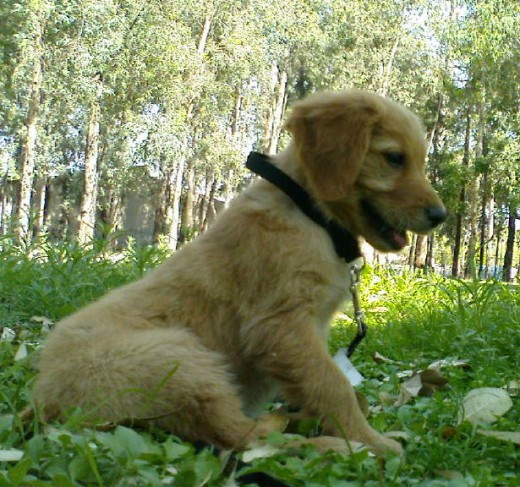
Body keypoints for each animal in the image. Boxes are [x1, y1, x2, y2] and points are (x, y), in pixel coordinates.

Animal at [33, 89, 446, 456]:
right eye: (394, 158)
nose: (440, 216)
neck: (309, 211)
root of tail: (44, 402)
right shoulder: (280, 326)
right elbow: (334, 385)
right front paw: (367, 438)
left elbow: (319, 383)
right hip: (176, 357)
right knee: (240, 438)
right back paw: (336, 447)